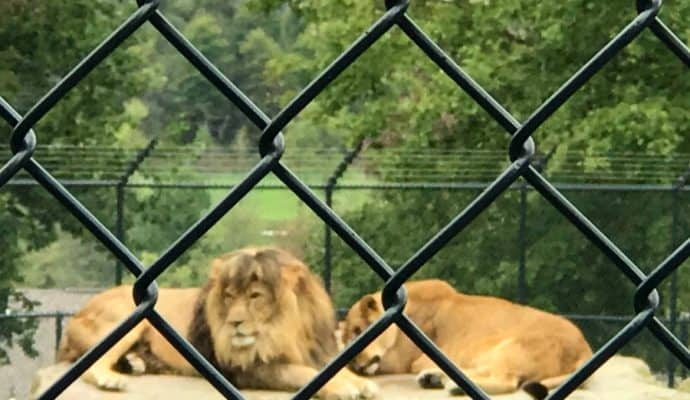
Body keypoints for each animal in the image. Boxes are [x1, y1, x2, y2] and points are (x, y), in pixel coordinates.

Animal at [57, 245, 376, 398]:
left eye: (255, 295)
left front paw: (361, 383)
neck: (286, 330)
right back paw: (111, 378)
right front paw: (345, 388)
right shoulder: (247, 370)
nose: (234, 323)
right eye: (229, 295)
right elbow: (303, 374)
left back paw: (136, 363)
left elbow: (330, 369)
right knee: (87, 364)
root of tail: (78, 313)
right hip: (128, 318)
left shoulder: (317, 353)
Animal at [340, 280, 592, 398]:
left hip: (511, 346)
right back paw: (435, 378)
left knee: (507, 380)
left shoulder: (402, 360)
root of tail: (585, 348)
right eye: (345, 337)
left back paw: (453, 386)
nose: (354, 363)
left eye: (358, 330)